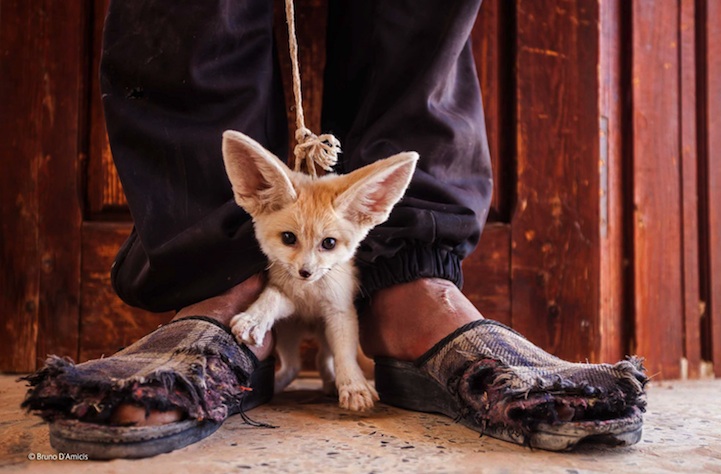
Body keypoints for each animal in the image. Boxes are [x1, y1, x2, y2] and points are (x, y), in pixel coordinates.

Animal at [222, 130, 420, 412]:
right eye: (288, 238)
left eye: (329, 243)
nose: (306, 272)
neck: (310, 295)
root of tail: (310, 329)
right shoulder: (288, 298)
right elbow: (273, 296)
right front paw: (255, 318)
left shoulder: (340, 312)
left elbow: (345, 355)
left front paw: (354, 386)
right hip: (288, 335)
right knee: (295, 366)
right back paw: (278, 384)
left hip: (324, 335)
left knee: (322, 361)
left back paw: (330, 384)